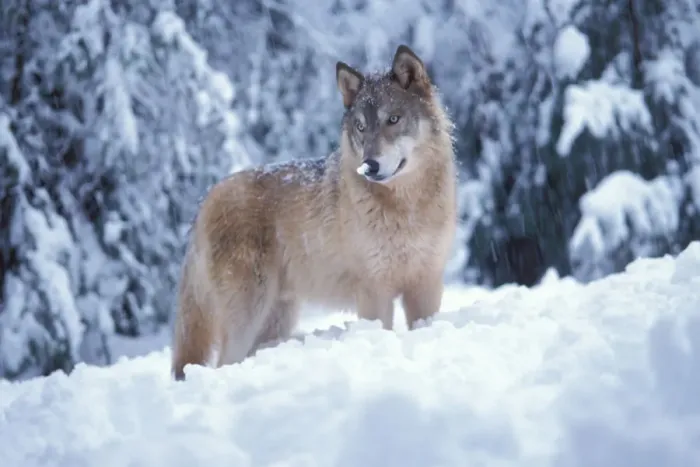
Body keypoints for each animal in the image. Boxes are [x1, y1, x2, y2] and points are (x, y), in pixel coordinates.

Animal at [171, 44, 458, 380]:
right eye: (361, 127)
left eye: (393, 119)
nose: (369, 166)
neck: (406, 207)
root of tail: (207, 198)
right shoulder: (374, 292)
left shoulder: (426, 286)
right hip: (247, 316)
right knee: (222, 363)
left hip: (275, 320)